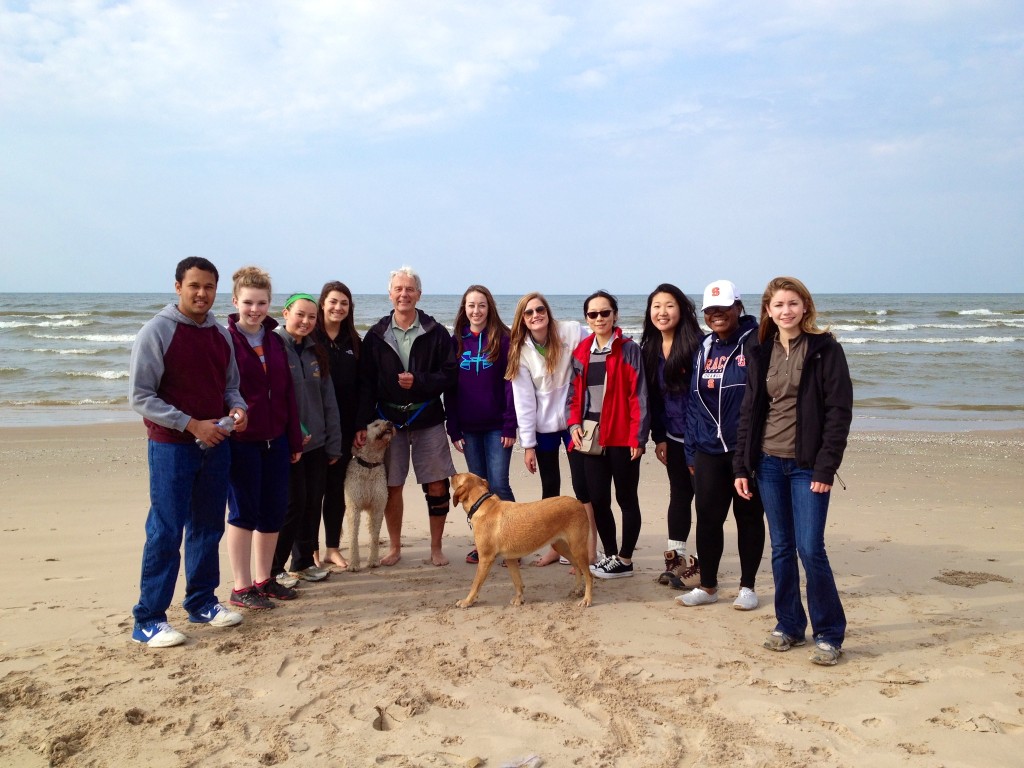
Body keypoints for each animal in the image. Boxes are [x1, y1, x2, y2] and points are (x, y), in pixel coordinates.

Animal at [344, 421, 391, 573]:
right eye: (376, 424)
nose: (390, 423)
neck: (369, 466)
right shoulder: (354, 507)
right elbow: (353, 536)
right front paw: (353, 564)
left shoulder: (378, 506)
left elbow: (375, 536)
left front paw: (373, 561)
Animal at [450, 475, 593, 606]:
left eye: (457, 477)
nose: (451, 474)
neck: (481, 504)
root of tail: (579, 503)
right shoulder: (510, 559)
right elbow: (517, 582)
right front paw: (519, 599)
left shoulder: (485, 559)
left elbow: (475, 585)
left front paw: (467, 601)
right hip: (561, 546)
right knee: (577, 566)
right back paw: (578, 589)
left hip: (577, 548)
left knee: (589, 575)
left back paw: (587, 599)